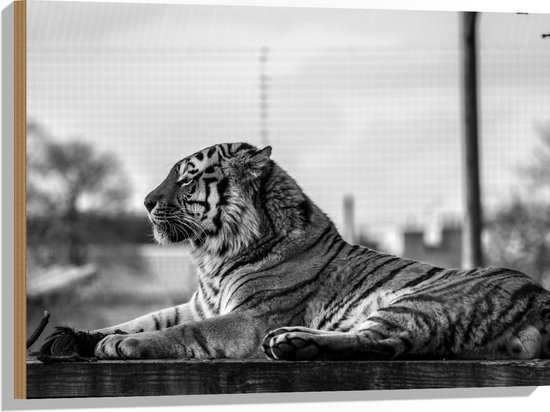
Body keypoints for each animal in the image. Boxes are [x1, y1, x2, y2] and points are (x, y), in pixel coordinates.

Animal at [43, 142, 550, 360]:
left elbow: (178, 333)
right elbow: (144, 318)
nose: (146, 203)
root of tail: (540, 297)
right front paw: (74, 337)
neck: (213, 257)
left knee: (386, 342)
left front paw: (123, 345)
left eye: (185, 180)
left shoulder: (249, 317)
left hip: (419, 301)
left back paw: (292, 341)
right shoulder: (198, 303)